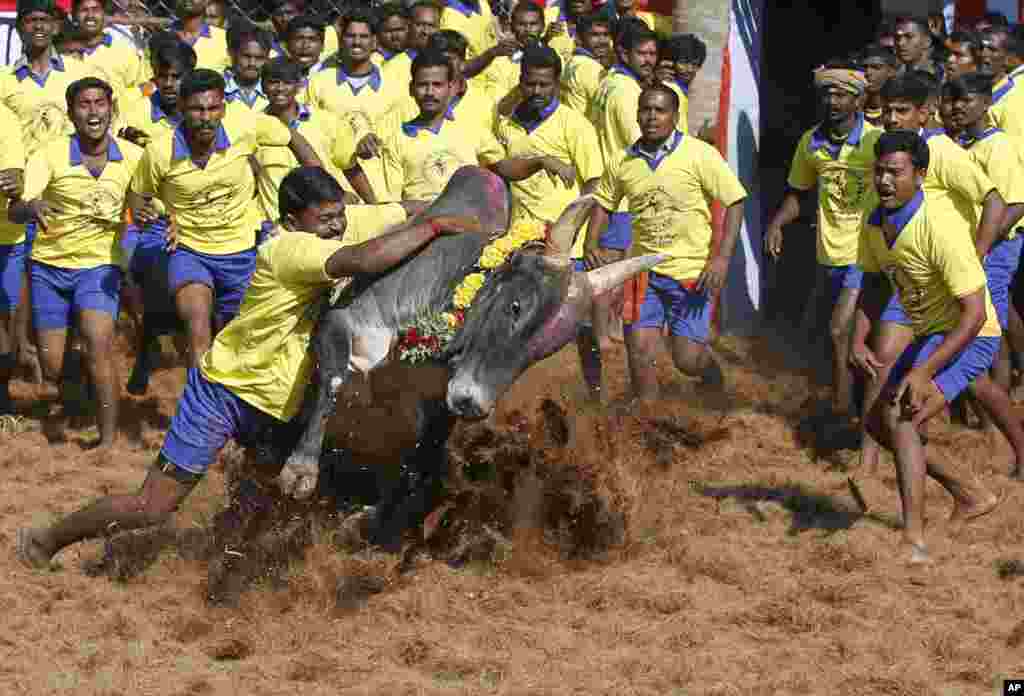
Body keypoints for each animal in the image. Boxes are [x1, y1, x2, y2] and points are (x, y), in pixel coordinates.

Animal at [276, 165, 667, 544]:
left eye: (542, 351)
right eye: (515, 306)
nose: (471, 402)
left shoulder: (437, 402)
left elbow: (419, 462)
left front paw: (372, 523)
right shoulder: (341, 321)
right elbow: (333, 382)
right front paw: (300, 469)